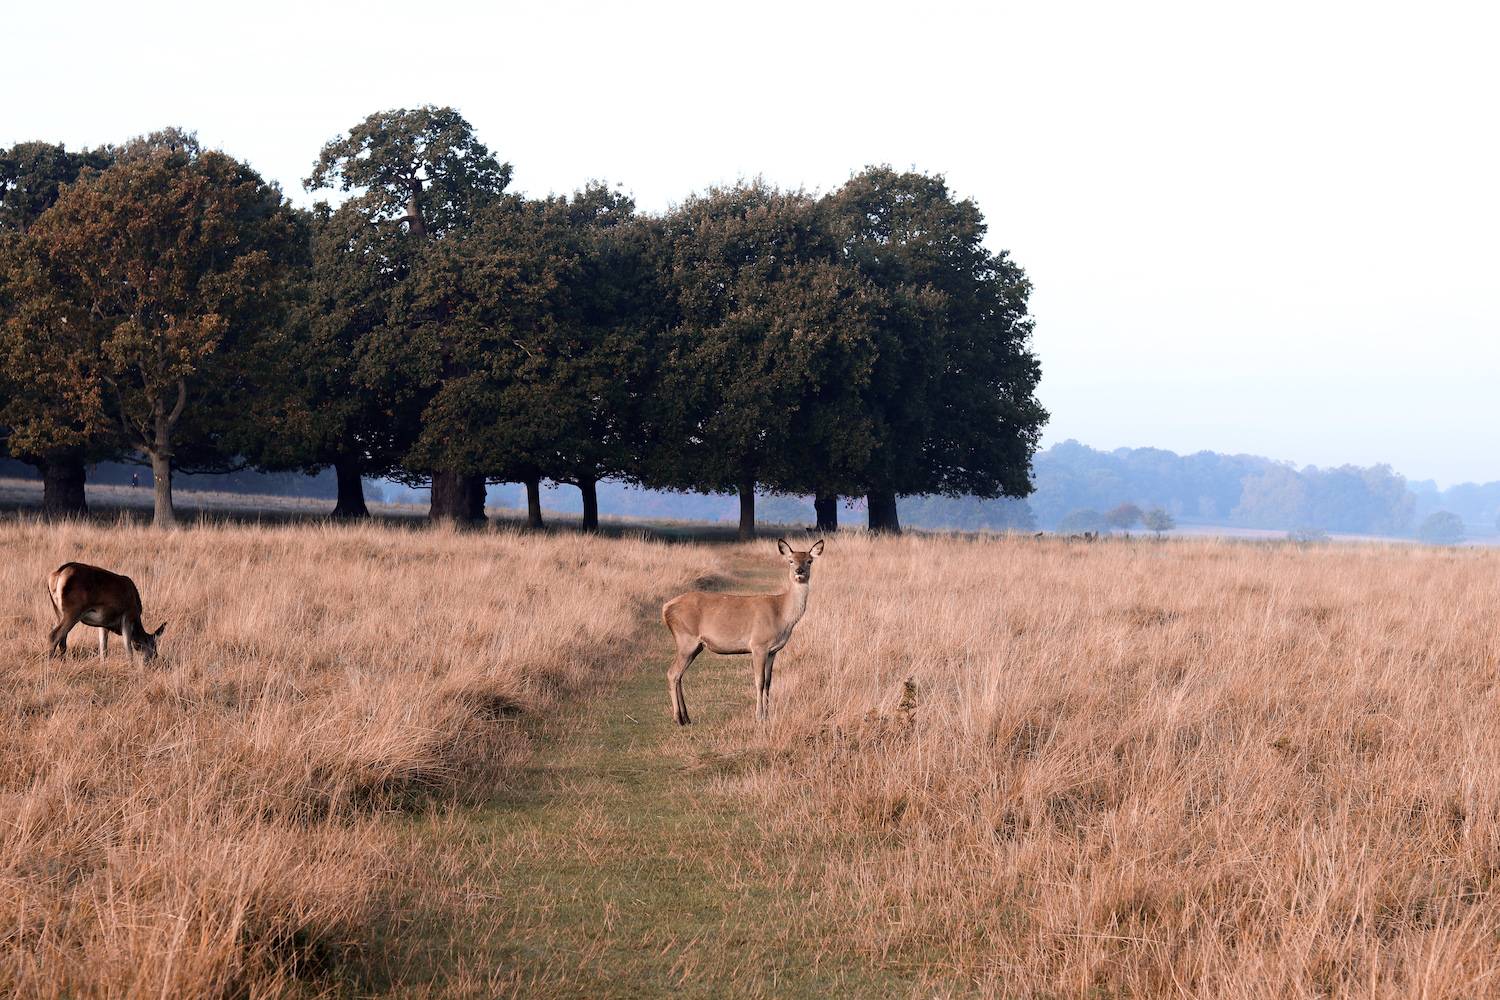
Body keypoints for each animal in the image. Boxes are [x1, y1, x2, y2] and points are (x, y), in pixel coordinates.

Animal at [660, 539, 828, 728]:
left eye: (809, 561)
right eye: (790, 561)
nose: (800, 571)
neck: (782, 614)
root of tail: (665, 608)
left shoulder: (773, 651)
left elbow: (769, 682)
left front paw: (768, 715)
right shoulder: (758, 644)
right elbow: (759, 681)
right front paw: (759, 716)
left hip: (695, 646)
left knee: (679, 675)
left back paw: (686, 718)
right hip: (686, 639)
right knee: (672, 673)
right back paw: (678, 719)